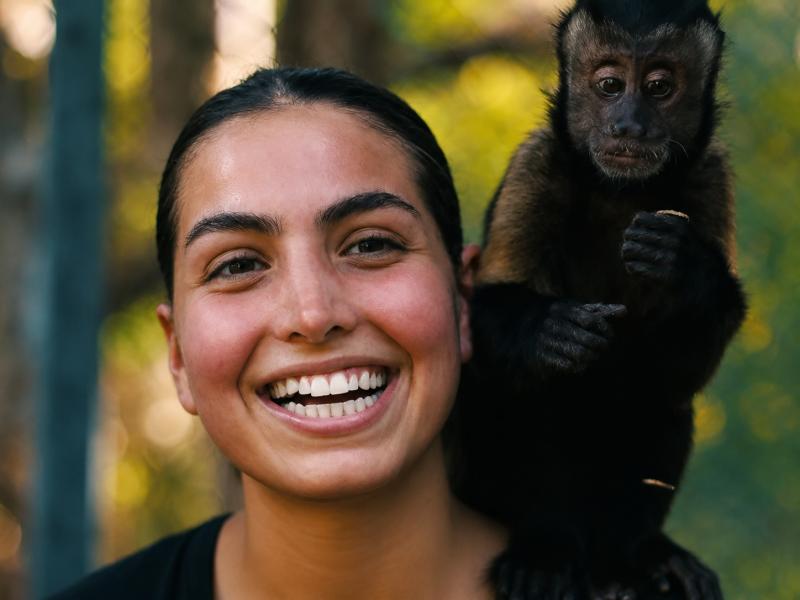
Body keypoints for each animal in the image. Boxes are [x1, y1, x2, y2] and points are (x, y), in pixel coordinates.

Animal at [451, 1, 746, 599]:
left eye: (659, 87)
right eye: (610, 85)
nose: (628, 123)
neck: (622, 191)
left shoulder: (712, 176)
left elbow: (684, 371)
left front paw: (683, 266)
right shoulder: (537, 164)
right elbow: (485, 316)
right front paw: (550, 330)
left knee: (658, 395)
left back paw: (634, 556)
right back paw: (545, 550)